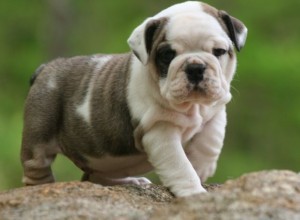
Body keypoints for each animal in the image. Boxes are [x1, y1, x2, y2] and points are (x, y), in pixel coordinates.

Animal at [20, 0, 246, 197]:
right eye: (167, 55)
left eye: (219, 51)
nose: (195, 67)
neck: (192, 106)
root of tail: (45, 69)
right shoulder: (160, 132)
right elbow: (180, 164)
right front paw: (193, 191)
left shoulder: (216, 108)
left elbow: (211, 140)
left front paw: (202, 166)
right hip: (40, 133)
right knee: (36, 167)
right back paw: (41, 186)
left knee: (94, 176)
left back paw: (131, 181)